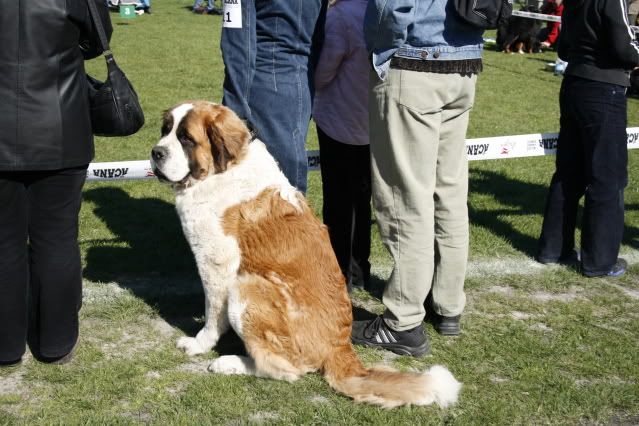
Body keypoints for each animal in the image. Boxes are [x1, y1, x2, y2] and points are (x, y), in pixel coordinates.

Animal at [150, 101, 461, 408]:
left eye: (186, 139)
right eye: (165, 130)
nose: (156, 152)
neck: (223, 170)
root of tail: (339, 345)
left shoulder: (216, 263)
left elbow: (213, 314)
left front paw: (200, 343)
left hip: (248, 288)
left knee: (285, 369)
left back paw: (231, 363)